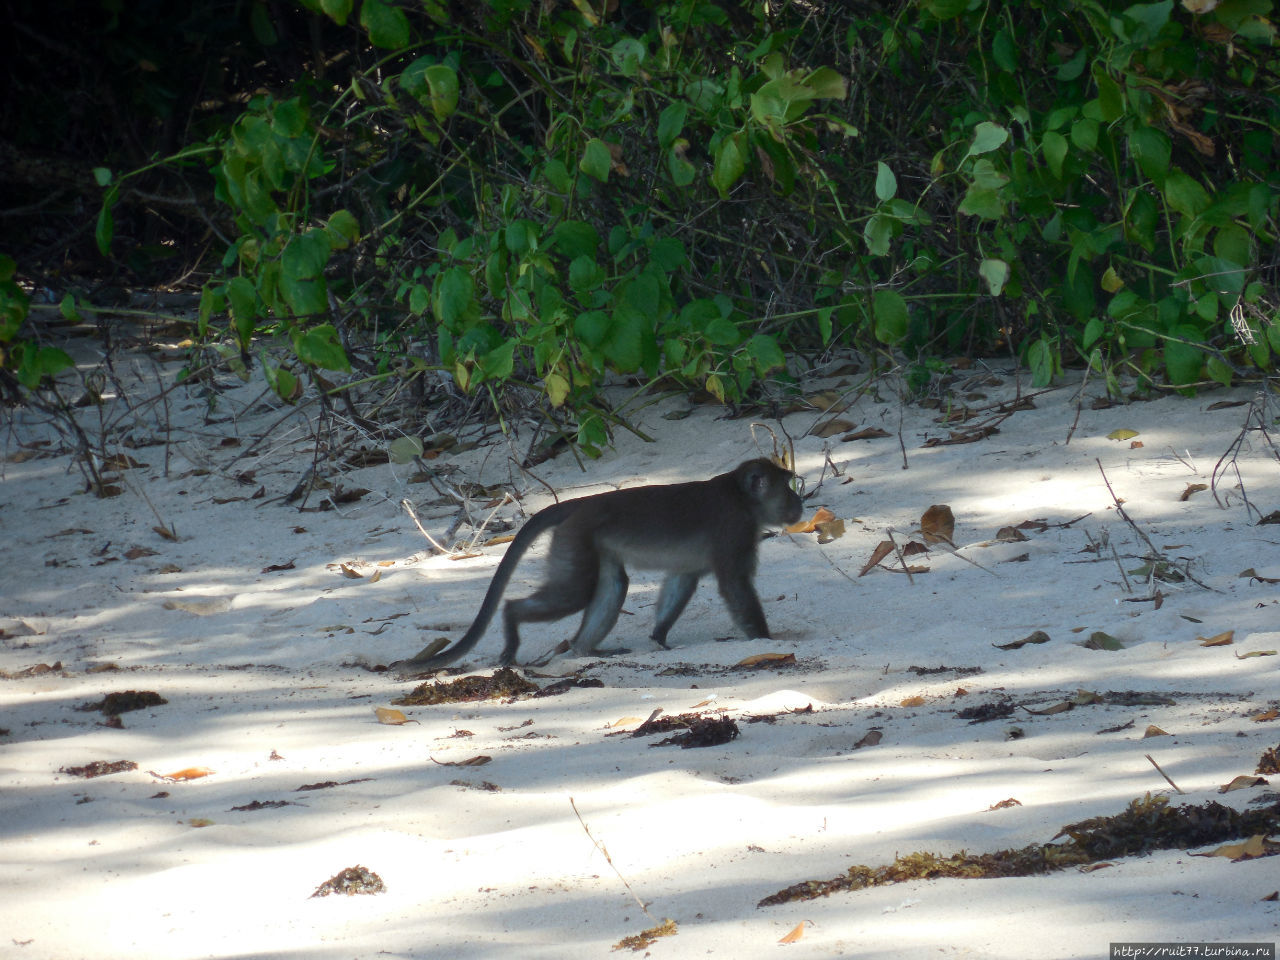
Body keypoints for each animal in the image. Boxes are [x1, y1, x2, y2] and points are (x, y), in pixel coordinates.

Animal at [394, 460, 803, 670]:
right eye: (786, 486)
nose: (799, 501)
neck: (740, 497)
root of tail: (582, 503)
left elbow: (682, 580)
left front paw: (658, 638)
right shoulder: (735, 529)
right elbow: (735, 583)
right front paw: (766, 641)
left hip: (588, 541)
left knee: (612, 584)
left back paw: (583, 650)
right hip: (577, 537)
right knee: (573, 593)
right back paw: (513, 623)